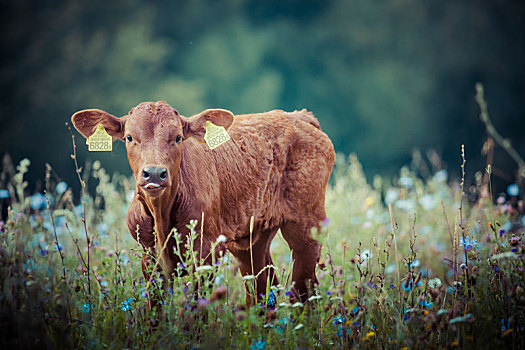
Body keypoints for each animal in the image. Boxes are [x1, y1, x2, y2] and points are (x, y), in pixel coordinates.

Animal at [71, 100, 334, 300]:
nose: (154, 173)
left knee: (305, 290)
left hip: (307, 226)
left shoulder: (206, 253)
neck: (161, 216)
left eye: (178, 137)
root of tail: (299, 116)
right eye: (129, 137)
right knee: (262, 290)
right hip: (251, 238)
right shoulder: (150, 258)